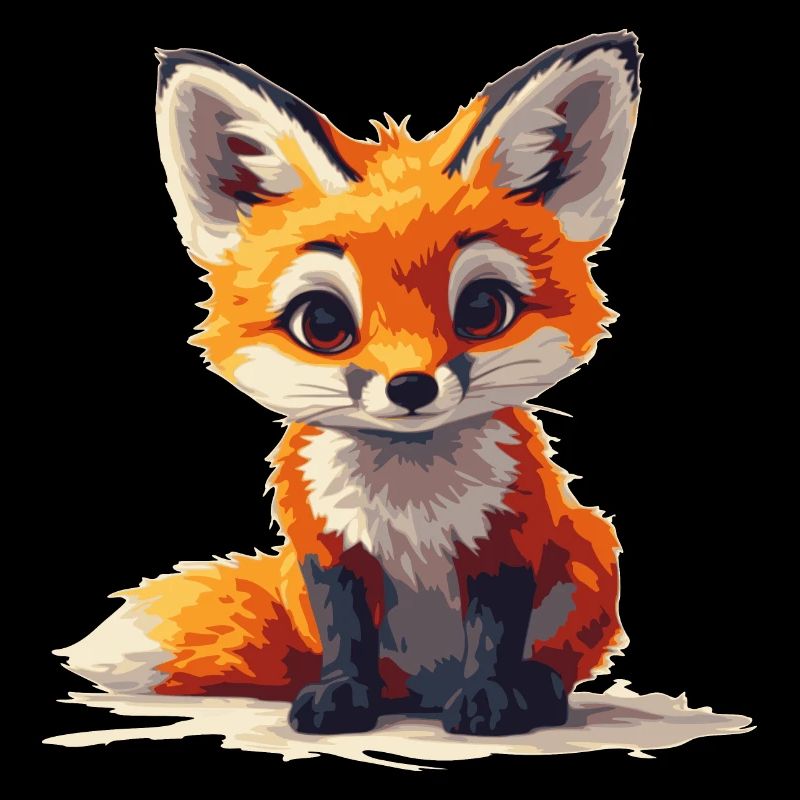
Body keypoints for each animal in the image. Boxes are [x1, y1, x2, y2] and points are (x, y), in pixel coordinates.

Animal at [56, 32, 641, 736]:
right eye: (324, 323)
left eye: (482, 309)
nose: (411, 387)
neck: (409, 500)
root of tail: (424, 691)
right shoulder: (328, 551)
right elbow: (347, 636)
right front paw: (342, 696)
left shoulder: (505, 541)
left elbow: (494, 635)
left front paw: (489, 698)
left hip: (590, 556)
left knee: (551, 657)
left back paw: (538, 692)